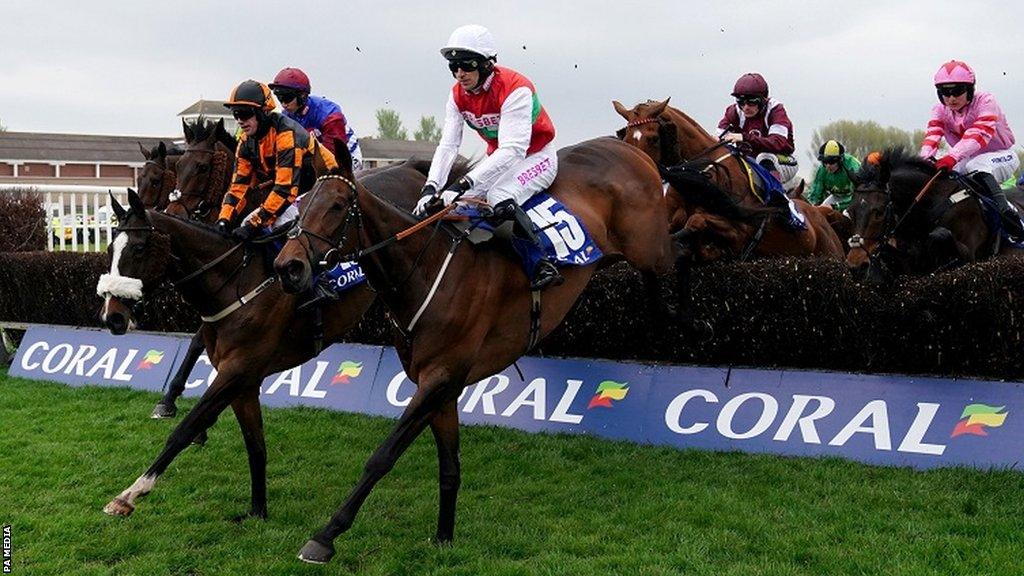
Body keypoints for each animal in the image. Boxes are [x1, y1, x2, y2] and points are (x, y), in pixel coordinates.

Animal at [97, 158, 430, 518]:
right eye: (109, 249)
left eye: (139, 248)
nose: (112, 316)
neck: (235, 283)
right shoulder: (244, 380)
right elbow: (255, 445)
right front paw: (258, 510)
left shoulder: (237, 370)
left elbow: (185, 429)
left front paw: (130, 493)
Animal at [272, 134, 675, 561]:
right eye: (300, 204)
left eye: (335, 206)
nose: (288, 267)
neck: (427, 270)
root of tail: (627, 147)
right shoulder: (441, 385)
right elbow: (450, 466)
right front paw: (444, 536)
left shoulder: (440, 377)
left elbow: (383, 456)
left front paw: (325, 536)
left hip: (651, 250)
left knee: (678, 255)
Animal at [847, 147, 1024, 282]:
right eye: (850, 211)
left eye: (879, 212)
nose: (856, 265)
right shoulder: (911, 266)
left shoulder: (971, 256)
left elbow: (940, 234)